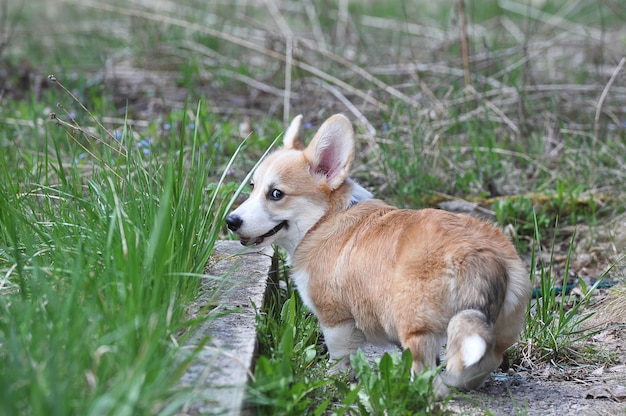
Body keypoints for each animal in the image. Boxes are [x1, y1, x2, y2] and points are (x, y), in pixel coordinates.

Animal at [224, 113, 528, 396]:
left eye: (276, 194)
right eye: (252, 187)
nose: (230, 221)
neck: (323, 219)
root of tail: (482, 253)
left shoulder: (336, 318)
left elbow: (340, 354)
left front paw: (333, 378)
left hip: (416, 324)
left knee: (425, 366)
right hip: (498, 328)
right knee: (484, 360)